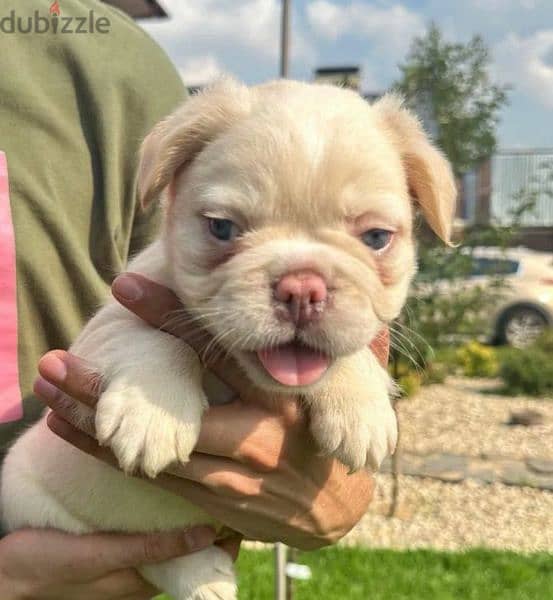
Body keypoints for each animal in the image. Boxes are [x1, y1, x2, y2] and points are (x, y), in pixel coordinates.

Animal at [2, 81, 454, 600]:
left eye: (377, 237)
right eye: (221, 227)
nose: (302, 288)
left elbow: (351, 346)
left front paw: (362, 411)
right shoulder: (101, 334)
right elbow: (156, 338)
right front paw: (154, 413)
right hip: (41, 508)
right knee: (153, 552)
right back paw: (204, 578)